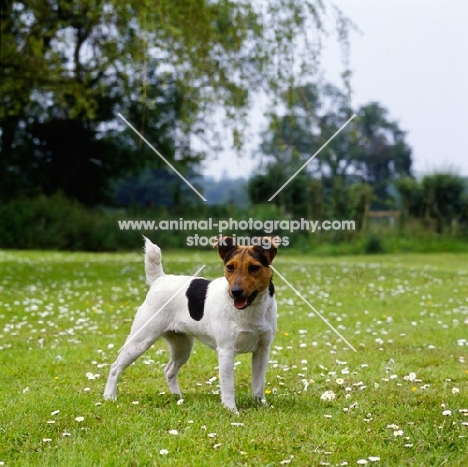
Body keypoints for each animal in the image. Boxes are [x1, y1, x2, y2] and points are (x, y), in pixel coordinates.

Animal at [103, 238, 278, 414]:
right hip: (140, 341)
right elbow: (228, 387)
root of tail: (160, 279)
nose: (235, 292)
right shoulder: (226, 352)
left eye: (254, 268)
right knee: (115, 367)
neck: (251, 309)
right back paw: (109, 396)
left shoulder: (262, 351)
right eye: (230, 267)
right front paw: (232, 411)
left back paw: (177, 397)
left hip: (182, 347)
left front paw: (261, 405)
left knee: (169, 371)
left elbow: (258, 383)